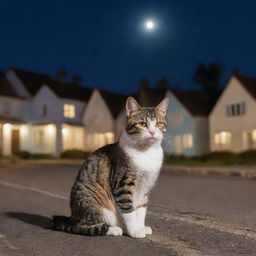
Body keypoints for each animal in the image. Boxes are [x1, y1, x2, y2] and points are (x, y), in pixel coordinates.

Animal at [52, 96, 169, 238]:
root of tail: (72, 217)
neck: (147, 152)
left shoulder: (146, 186)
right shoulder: (123, 183)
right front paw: (135, 231)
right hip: (92, 203)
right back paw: (114, 229)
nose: (152, 132)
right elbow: (129, 210)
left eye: (158, 124)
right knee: (81, 227)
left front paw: (141, 227)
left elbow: (141, 210)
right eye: (142, 124)